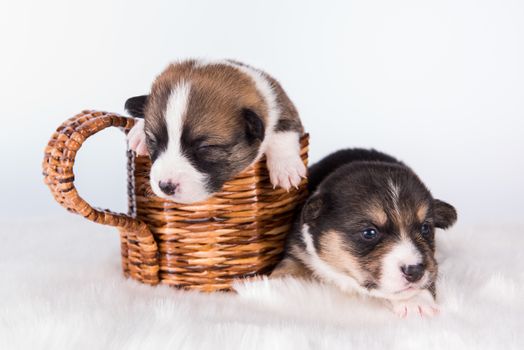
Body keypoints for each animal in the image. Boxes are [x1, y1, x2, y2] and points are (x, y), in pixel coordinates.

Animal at [124, 59, 302, 204]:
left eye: (204, 148)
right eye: (152, 141)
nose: (166, 186)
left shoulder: (282, 104)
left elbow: (283, 130)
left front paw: (286, 168)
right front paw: (139, 133)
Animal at [272, 149, 456, 318]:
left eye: (425, 228)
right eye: (369, 233)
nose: (415, 271)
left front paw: (415, 302)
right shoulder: (297, 250)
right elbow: (287, 267)